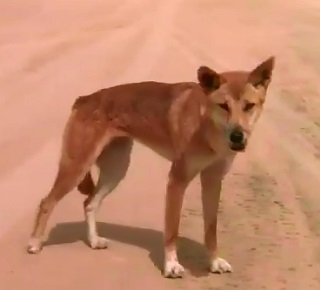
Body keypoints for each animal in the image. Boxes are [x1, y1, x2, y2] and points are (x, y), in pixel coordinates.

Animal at [26, 55, 276, 278]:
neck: (208, 126)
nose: (237, 137)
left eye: (249, 106)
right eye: (223, 106)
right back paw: (35, 243)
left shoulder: (213, 180)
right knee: (47, 202)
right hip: (77, 165)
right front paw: (172, 266)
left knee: (90, 203)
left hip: (116, 169)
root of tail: (84, 98)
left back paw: (94, 240)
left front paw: (214, 261)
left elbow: (211, 229)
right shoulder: (177, 180)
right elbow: (172, 230)